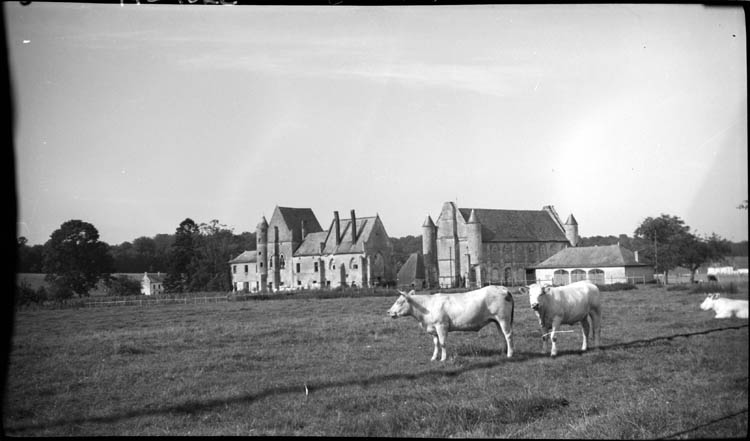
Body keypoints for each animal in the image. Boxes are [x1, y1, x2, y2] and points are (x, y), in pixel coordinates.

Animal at [388, 286, 516, 360]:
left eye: (399, 301)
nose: (388, 311)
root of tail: (503, 288)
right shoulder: (433, 328)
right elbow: (436, 343)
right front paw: (434, 357)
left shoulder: (441, 325)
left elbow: (442, 343)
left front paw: (443, 359)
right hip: (497, 320)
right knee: (502, 335)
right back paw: (504, 352)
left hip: (503, 318)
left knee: (508, 335)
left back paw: (510, 354)